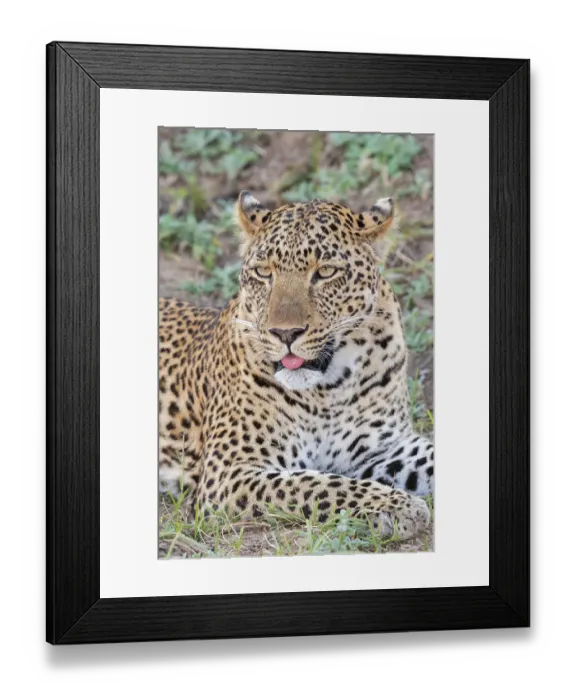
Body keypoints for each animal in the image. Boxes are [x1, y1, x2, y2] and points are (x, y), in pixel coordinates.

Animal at [159, 192, 434, 540]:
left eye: (326, 272)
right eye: (264, 272)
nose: (285, 333)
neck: (328, 389)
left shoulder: (385, 446)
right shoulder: (229, 473)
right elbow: (319, 484)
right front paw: (398, 505)